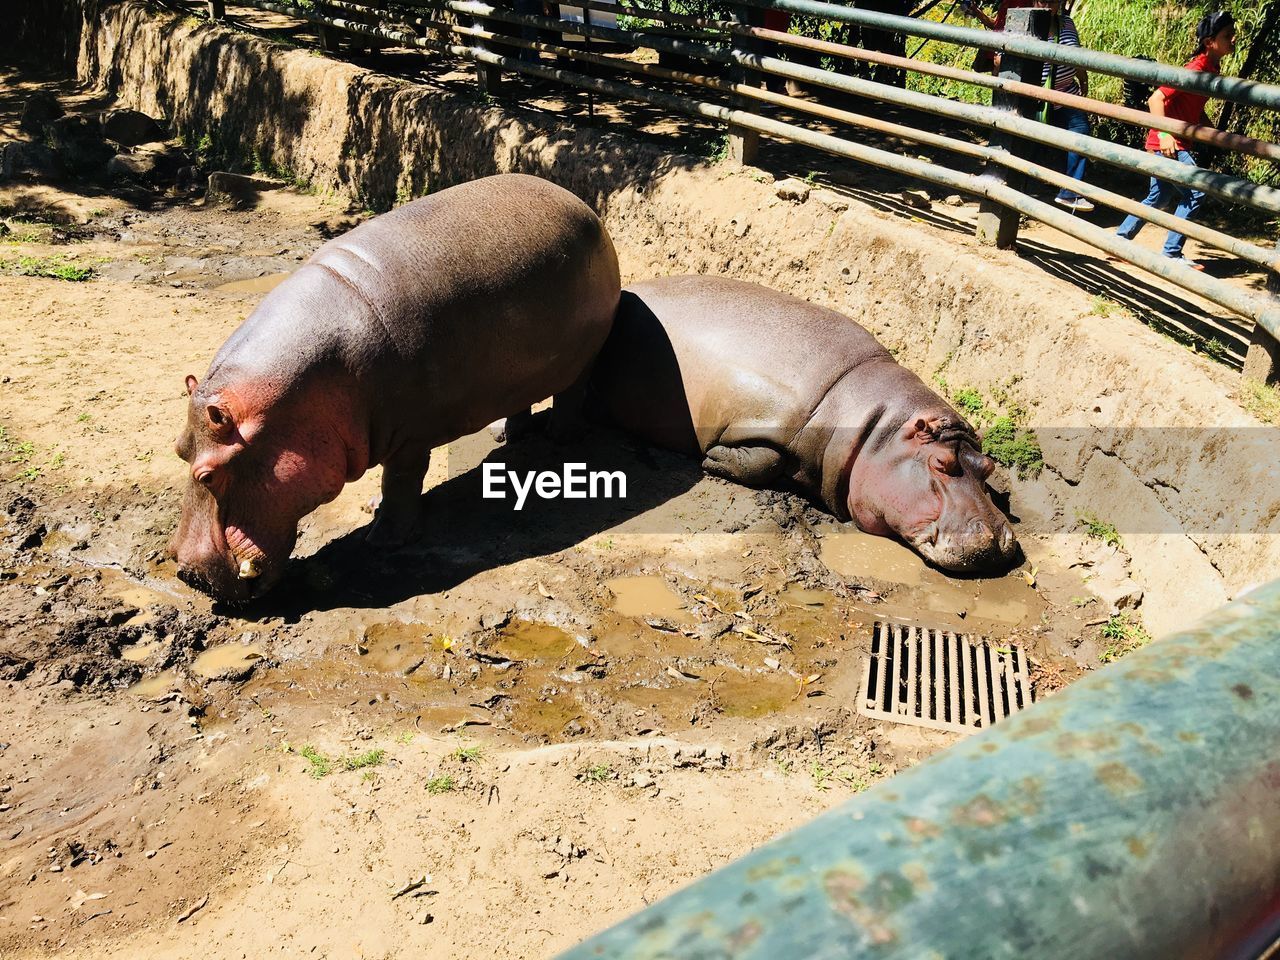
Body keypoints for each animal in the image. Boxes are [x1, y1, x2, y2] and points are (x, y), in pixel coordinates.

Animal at [172, 172, 622, 601]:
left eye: (207, 476)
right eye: (178, 450)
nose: (186, 573)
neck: (296, 403)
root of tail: (577, 200)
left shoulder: (409, 436)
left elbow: (401, 479)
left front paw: (382, 541)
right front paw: (374, 509)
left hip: (584, 355)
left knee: (570, 395)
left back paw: (560, 439)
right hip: (521, 367)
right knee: (521, 400)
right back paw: (507, 436)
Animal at [596, 273, 1018, 576]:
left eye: (988, 466)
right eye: (941, 464)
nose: (1000, 542)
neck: (878, 428)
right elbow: (766, 460)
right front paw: (714, 457)